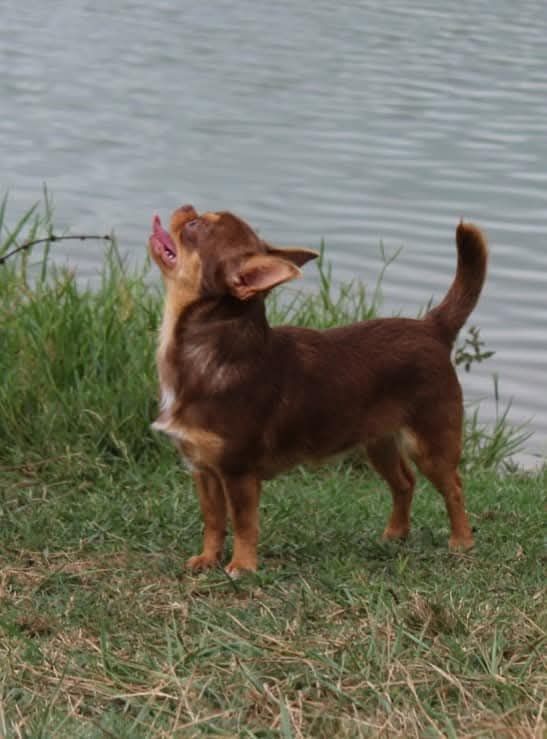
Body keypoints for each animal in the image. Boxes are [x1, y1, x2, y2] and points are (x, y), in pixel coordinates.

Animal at [148, 205, 488, 576]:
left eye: (195, 227)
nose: (186, 209)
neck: (204, 352)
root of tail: (432, 327)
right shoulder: (205, 470)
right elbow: (213, 520)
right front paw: (208, 559)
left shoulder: (239, 473)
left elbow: (243, 523)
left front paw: (242, 566)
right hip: (378, 443)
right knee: (404, 482)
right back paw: (395, 533)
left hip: (429, 445)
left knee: (453, 487)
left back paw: (462, 541)